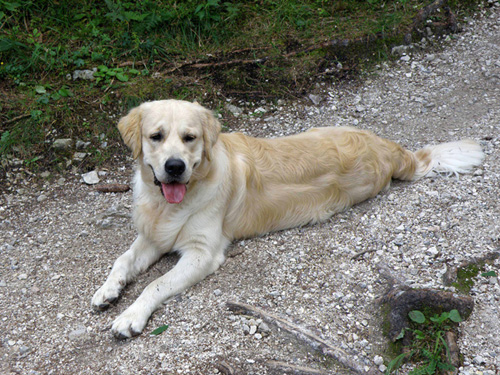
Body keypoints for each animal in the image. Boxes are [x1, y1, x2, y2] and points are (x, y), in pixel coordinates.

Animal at [91, 98, 484, 340]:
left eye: (190, 138)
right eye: (156, 137)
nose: (175, 167)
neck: (170, 203)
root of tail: (389, 148)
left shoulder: (202, 253)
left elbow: (155, 285)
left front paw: (130, 316)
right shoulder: (153, 234)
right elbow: (122, 260)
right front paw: (107, 291)